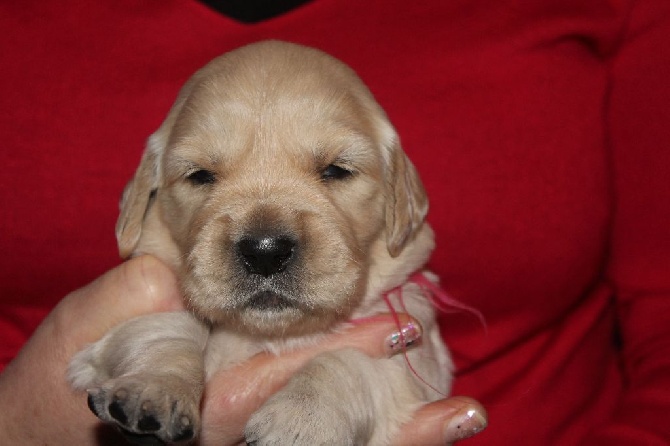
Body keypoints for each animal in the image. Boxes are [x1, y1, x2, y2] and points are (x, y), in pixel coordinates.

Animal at [68, 40, 454, 444]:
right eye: (200, 176)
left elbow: (350, 358)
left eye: (336, 170)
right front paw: (155, 387)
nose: (265, 251)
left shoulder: (417, 353)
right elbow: (163, 329)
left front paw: (303, 418)